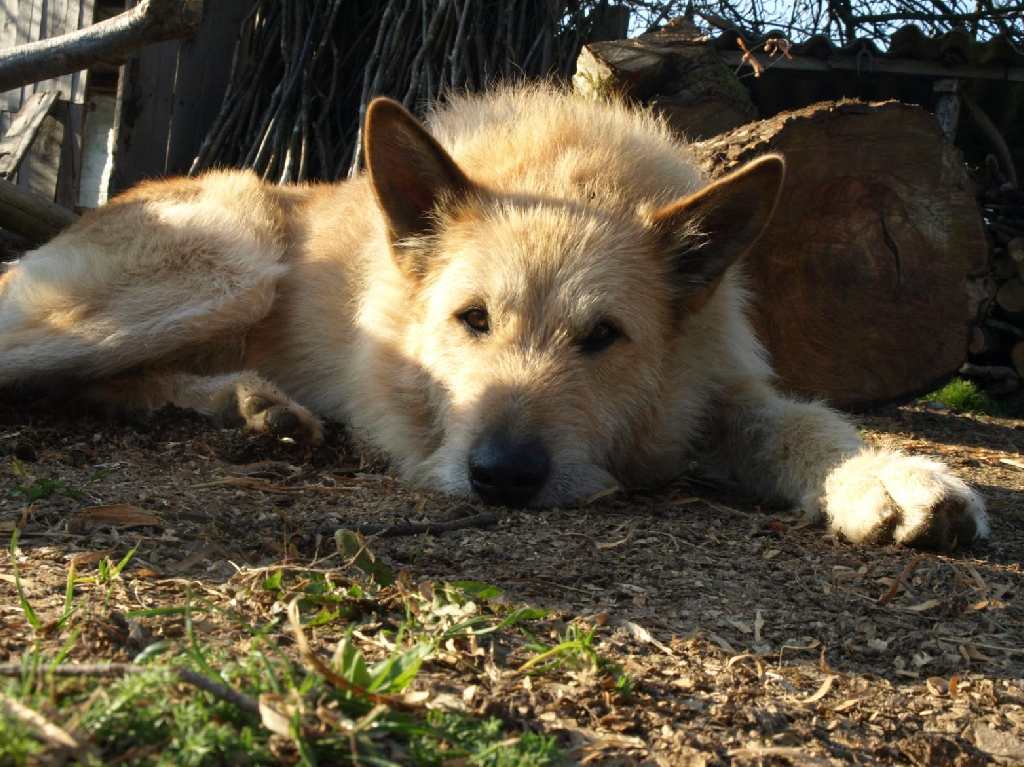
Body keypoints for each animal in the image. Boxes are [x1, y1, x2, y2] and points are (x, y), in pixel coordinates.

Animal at [2, 85, 991, 548]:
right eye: (471, 319)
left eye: (603, 338)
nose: (504, 476)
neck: (569, 172)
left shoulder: (711, 388)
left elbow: (805, 421)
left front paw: (888, 477)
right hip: (234, 251)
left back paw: (252, 405)